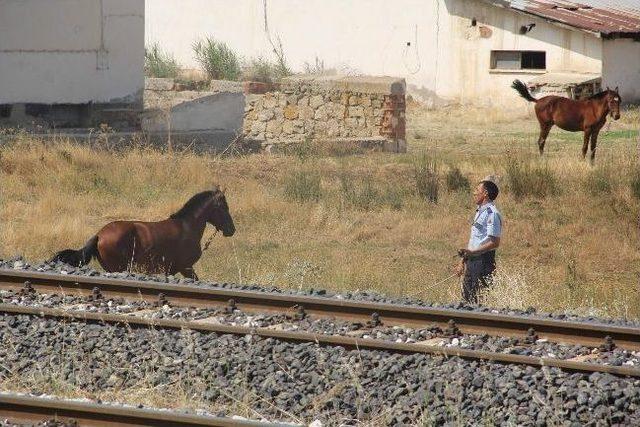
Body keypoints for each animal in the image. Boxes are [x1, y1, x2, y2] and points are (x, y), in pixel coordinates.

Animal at [49, 188, 235, 280]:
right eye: (224, 207)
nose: (231, 229)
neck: (187, 227)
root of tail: (99, 235)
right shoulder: (186, 267)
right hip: (118, 268)